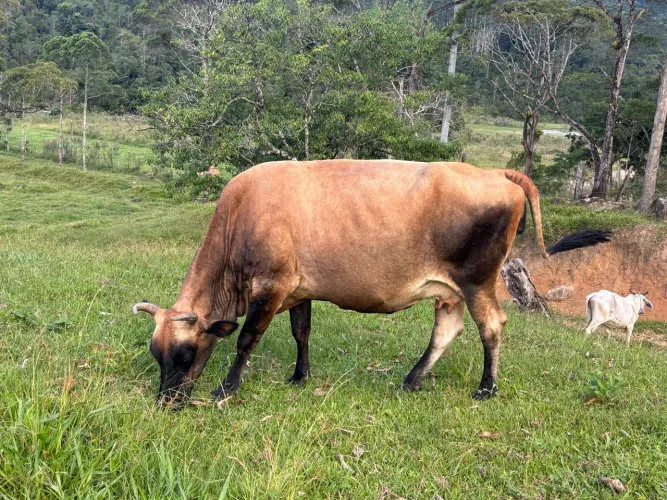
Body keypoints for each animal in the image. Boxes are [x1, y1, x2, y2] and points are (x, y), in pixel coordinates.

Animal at [132, 160, 611, 408]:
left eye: (185, 353)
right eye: (156, 353)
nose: (166, 401)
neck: (240, 217)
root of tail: (494, 171)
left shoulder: (271, 285)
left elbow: (247, 338)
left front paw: (226, 389)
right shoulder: (299, 288)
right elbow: (301, 332)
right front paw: (300, 376)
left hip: (478, 280)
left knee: (491, 326)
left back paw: (485, 388)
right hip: (452, 289)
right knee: (448, 329)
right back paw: (412, 379)